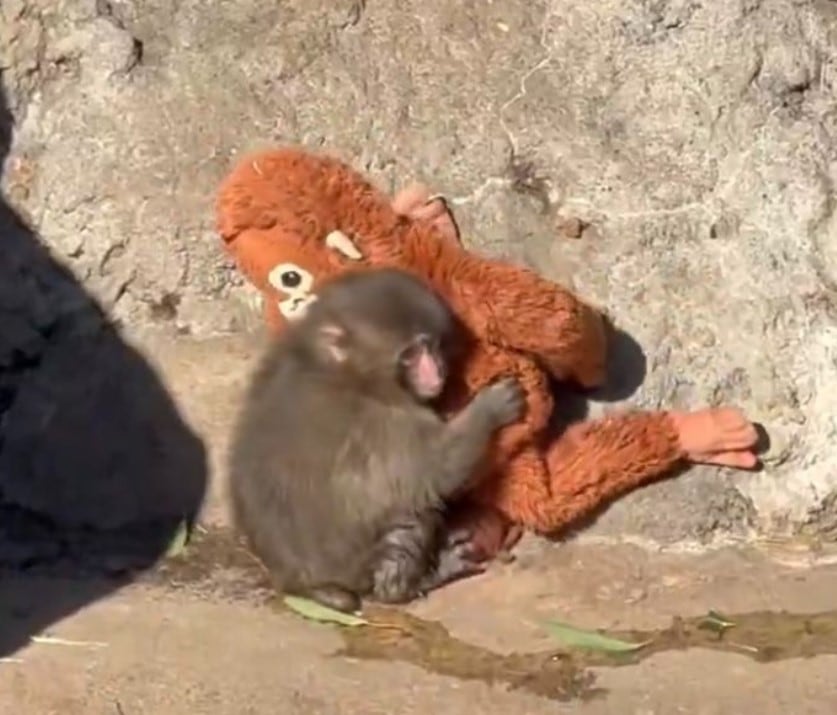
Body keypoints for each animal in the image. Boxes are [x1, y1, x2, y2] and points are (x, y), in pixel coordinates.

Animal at [228, 267, 525, 613]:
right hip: (357, 565)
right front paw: (491, 407)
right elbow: (437, 469)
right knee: (409, 515)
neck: (341, 370)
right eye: (411, 354)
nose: (436, 373)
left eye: (432, 346)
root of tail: (297, 583)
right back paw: (411, 584)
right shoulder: (384, 421)